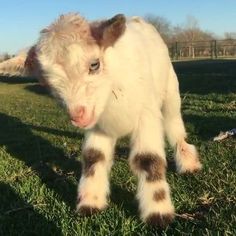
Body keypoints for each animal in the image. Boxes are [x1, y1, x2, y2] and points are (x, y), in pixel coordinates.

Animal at [36, 12, 202, 227]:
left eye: (95, 64)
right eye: (47, 80)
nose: (77, 116)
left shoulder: (146, 114)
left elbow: (148, 159)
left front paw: (158, 215)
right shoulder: (99, 123)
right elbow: (94, 156)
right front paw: (90, 204)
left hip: (170, 91)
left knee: (174, 125)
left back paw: (188, 164)